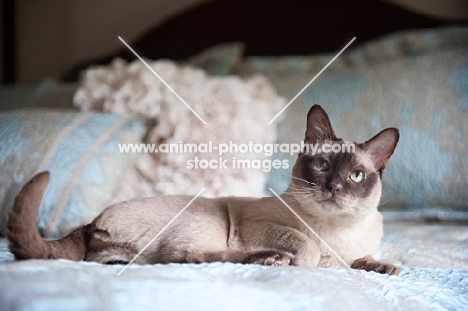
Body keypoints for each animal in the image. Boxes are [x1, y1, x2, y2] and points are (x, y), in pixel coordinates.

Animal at [6, 106, 398, 276]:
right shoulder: (261, 226)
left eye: (357, 176)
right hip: (210, 220)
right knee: (186, 257)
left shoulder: (350, 253)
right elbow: (310, 248)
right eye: (321, 167)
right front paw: (306, 263)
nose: (333, 188)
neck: (338, 231)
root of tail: (90, 222)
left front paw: (381, 267)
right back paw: (269, 259)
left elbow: (359, 260)